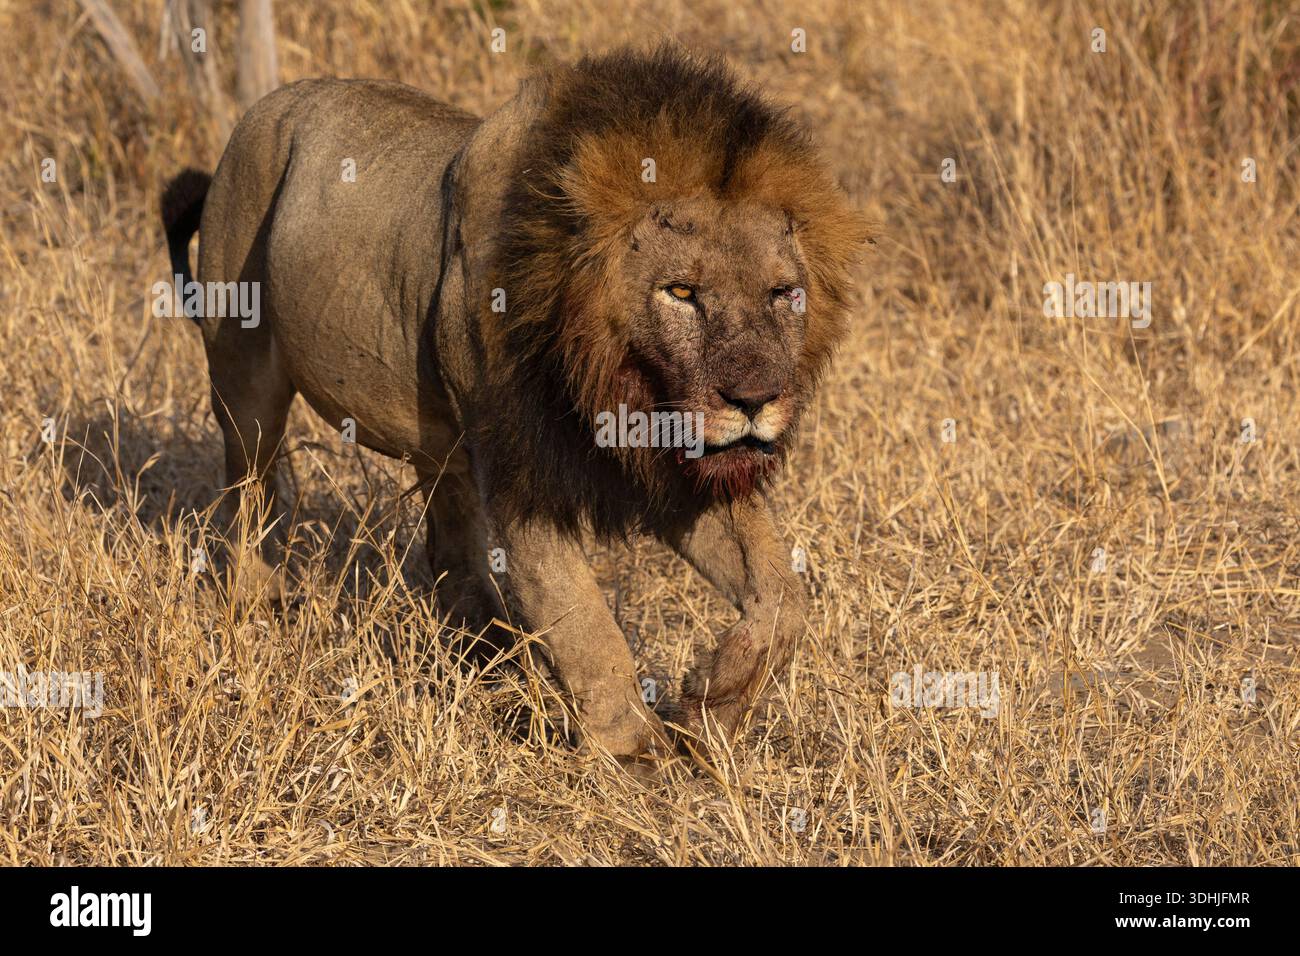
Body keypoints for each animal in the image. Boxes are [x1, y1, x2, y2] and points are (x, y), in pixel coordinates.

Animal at [161, 44, 868, 760]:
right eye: (681, 292)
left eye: (782, 293)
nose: (754, 399)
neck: (618, 387)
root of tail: (263, 108)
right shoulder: (522, 478)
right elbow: (588, 631)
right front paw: (638, 758)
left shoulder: (681, 474)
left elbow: (784, 597)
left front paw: (707, 710)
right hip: (244, 372)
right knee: (246, 494)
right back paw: (260, 605)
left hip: (438, 438)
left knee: (450, 551)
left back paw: (489, 660)